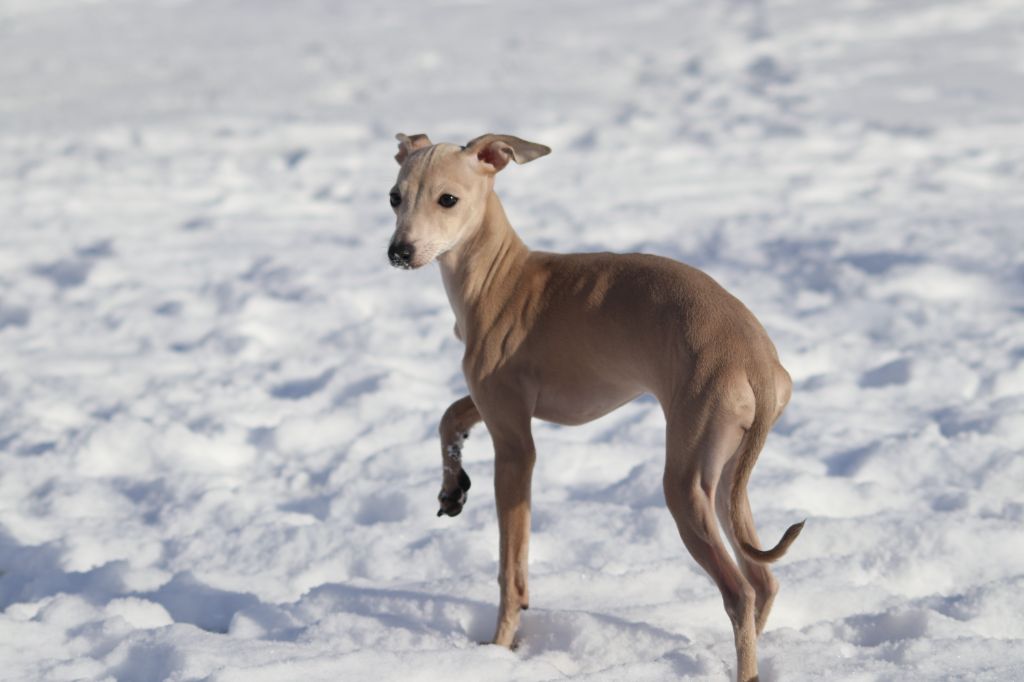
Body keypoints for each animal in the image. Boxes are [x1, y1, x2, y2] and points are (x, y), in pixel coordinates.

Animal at [387, 130, 802, 675]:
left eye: (447, 199)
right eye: (394, 197)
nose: (399, 252)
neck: (501, 277)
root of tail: (756, 357)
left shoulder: (515, 444)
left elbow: (511, 570)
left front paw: (499, 648)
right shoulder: (499, 402)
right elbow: (449, 415)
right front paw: (452, 487)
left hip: (686, 482)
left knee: (740, 592)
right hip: (728, 475)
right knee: (764, 580)